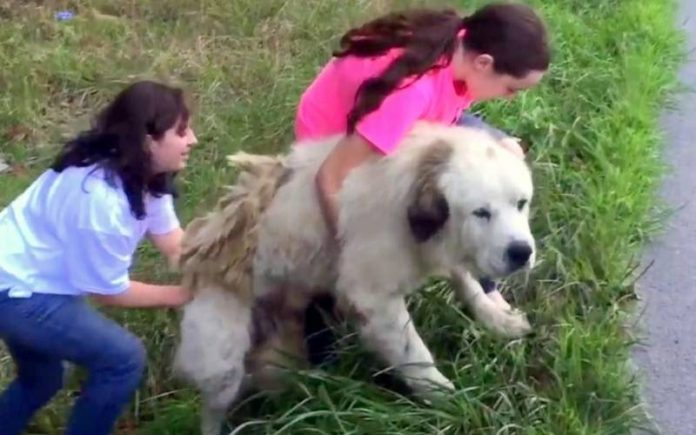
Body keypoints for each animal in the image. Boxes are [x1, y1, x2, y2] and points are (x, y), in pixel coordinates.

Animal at [174, 122, 540, 435]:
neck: (421, 172)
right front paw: (450, 400)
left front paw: (498, 320)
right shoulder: (372, 296)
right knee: (213, 409)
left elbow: (468, 284)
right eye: (481, 212)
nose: (522, 252)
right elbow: (415, 355)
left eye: (521, 203)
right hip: (223, 358)